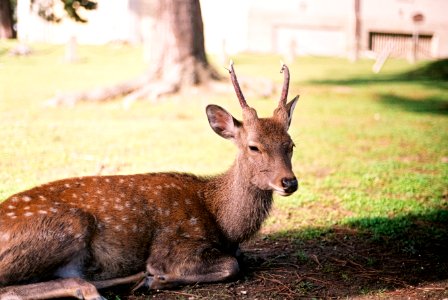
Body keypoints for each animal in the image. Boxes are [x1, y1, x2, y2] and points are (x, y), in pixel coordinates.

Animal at [0, 62, 300, 298]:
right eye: (254, 147)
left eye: (291, 144)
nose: (289, 182)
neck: (222, 222)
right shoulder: (176, 244)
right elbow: (232, 266)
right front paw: (157, 277)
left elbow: (241, 258)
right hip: (70, 224)